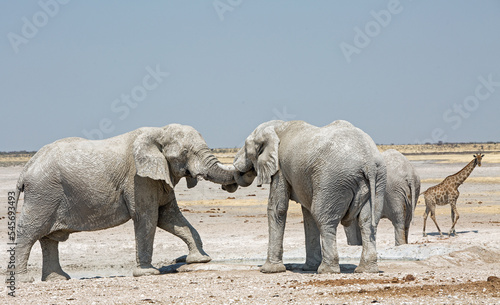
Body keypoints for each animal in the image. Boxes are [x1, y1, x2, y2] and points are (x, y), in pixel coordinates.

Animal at [10, 122, 254, 282]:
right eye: (185, 152)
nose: (231, 185)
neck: (158, 132)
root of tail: (26, 168)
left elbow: (170, 217)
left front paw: (200, 259)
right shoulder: (138, 179)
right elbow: (148, 217)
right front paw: (148, 273)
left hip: (48, 194)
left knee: (49, 238)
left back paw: (59, 279)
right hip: (43, 194)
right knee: (30, 232)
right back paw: (23, 281)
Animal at [234, 119, 386, 274]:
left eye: (246, 149)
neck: (278, 126)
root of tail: (369, 163)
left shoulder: (280, 168)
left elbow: (278, 208)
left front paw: (270, 270)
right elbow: (307, 214)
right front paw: (308, 268)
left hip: (332, 180)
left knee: (323, 217)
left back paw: (326, 270)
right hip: (378, 181)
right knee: (367, 222)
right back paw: (366, 270)